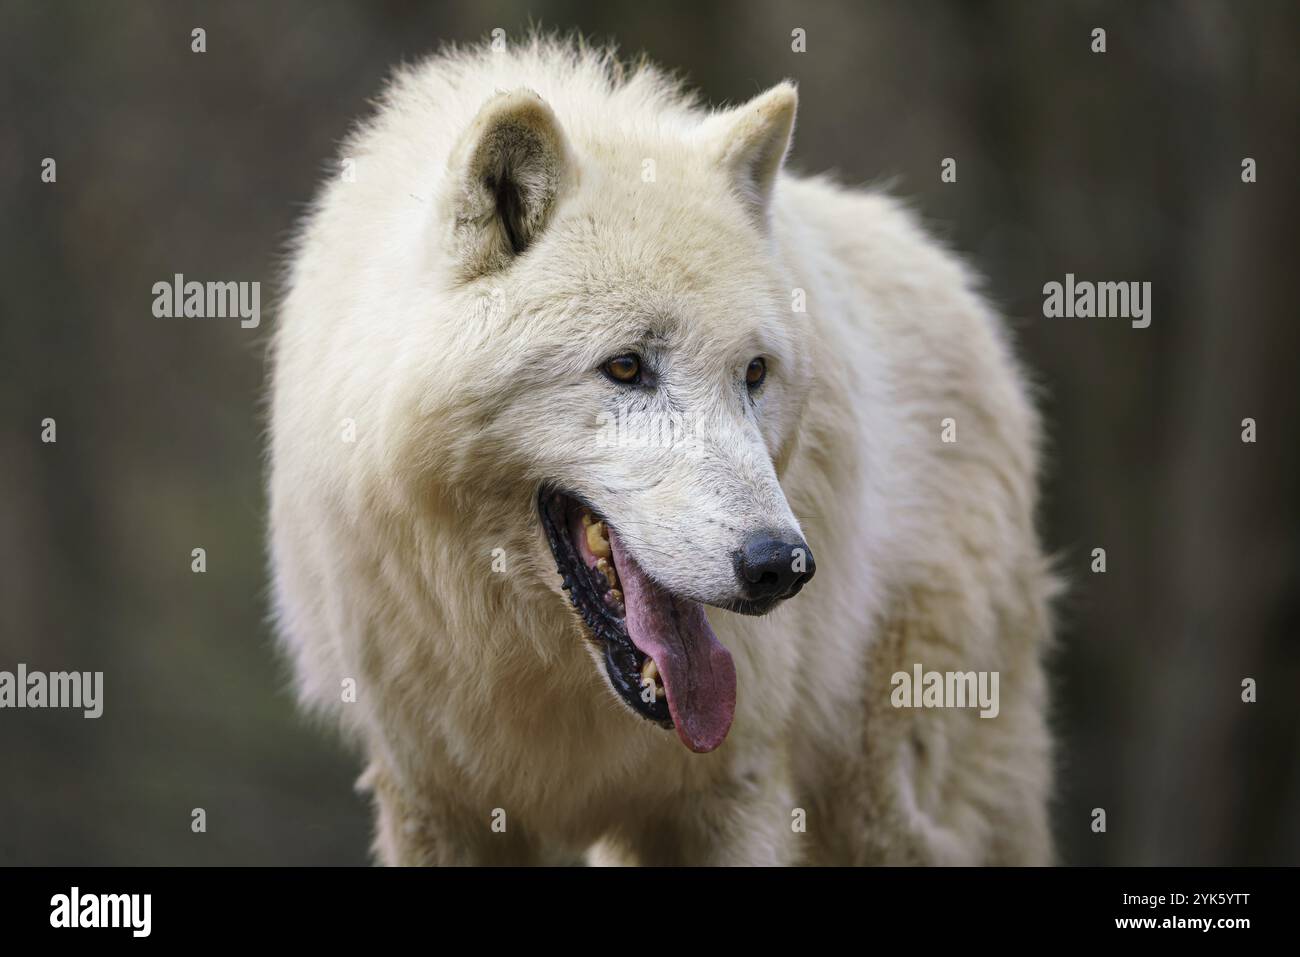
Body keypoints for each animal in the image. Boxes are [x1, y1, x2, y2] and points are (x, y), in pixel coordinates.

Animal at [266, 37, 1055, 868]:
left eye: (754, 373)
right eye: (625, 367)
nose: (780, 565)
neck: (535, 663)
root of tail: (955, 280)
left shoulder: (735, 792)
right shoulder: (434, 800)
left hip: (892, 800)